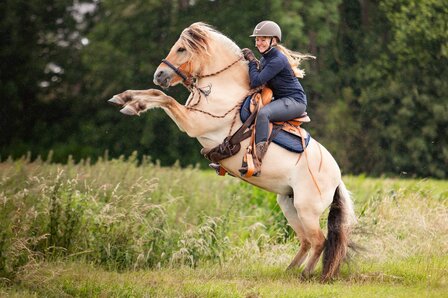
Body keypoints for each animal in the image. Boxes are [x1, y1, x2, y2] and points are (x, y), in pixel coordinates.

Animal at [107, 22, 356, 280]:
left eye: (182, 49)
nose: (159, 75)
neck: (223, 89)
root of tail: (337, 178)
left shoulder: (193, 122)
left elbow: (163, 98)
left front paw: (134, 104)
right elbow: (156, 94)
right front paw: (124, 98)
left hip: (306, 209)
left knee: (318, 241)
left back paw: (304, 275)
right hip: (289, 204)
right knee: (306, 241)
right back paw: (288, 270)